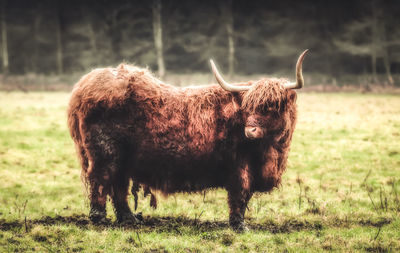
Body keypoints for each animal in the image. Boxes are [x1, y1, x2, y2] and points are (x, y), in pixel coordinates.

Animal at [67, 50, 308, 231]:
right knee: (100, 181)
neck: (271, 151)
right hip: (104, 154)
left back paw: (130, 219)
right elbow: (239, 195)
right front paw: (239, 226)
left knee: (119, 186)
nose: (250, 130)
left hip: (123, 159)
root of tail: (83, 87)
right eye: (249, 107)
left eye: (272, 107)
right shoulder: (240, 167)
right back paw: (99, 218)